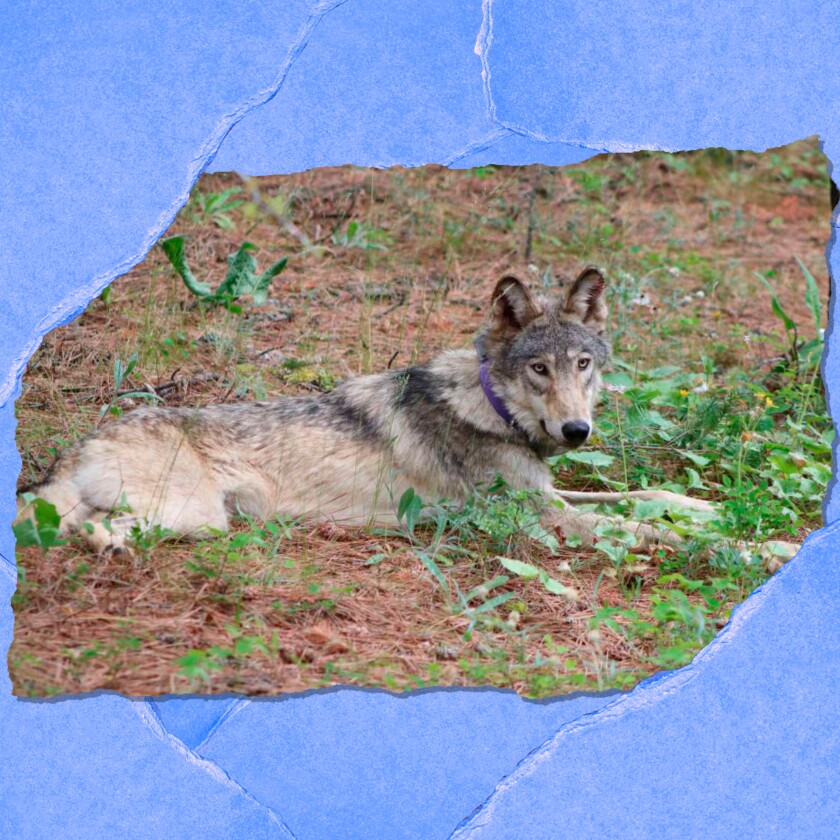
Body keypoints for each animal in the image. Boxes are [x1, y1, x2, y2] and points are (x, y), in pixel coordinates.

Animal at [14, 270, 780, 556]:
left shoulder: (552, 494)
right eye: (540, 369)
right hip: (196, 516)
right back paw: (109, 548)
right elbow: (641, 528)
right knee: (87, 529)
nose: (576, 430)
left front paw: (711, 512)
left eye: (582, 365)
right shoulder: (543, 518)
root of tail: (76, 449)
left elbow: (647, 497)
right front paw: (753, 549)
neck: (490, 408)